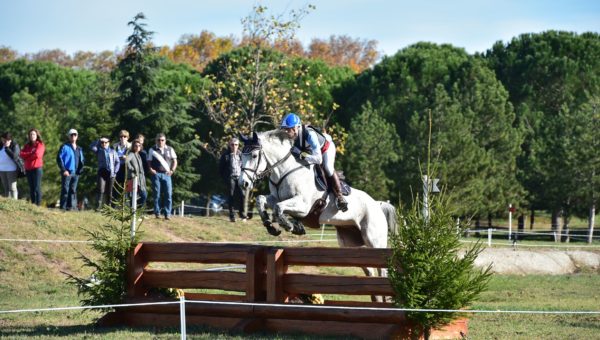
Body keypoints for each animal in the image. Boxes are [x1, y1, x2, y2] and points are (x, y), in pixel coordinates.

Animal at [237, 130, 396, 278]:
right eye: (240, 156)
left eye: (254, 156)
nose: (243, 183)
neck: (284, 171)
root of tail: (377, 204)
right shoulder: (276, 198)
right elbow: (261, 200)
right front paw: (271, 226)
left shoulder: (303, 206)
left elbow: (279, 207)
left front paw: (290, 226)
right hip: (351, 243)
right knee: (369, 269)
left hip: (374, 240)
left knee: (382, 269)